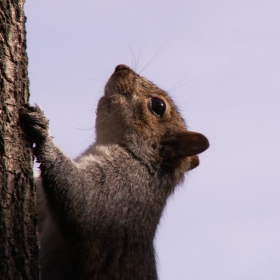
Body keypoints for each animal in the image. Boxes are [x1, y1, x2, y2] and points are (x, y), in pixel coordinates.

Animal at [20, 64, 209, 278]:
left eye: (158, 106)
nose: (121, 67)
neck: (139, 160)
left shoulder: (120, 189)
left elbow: (79, 197)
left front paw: (43, 133)